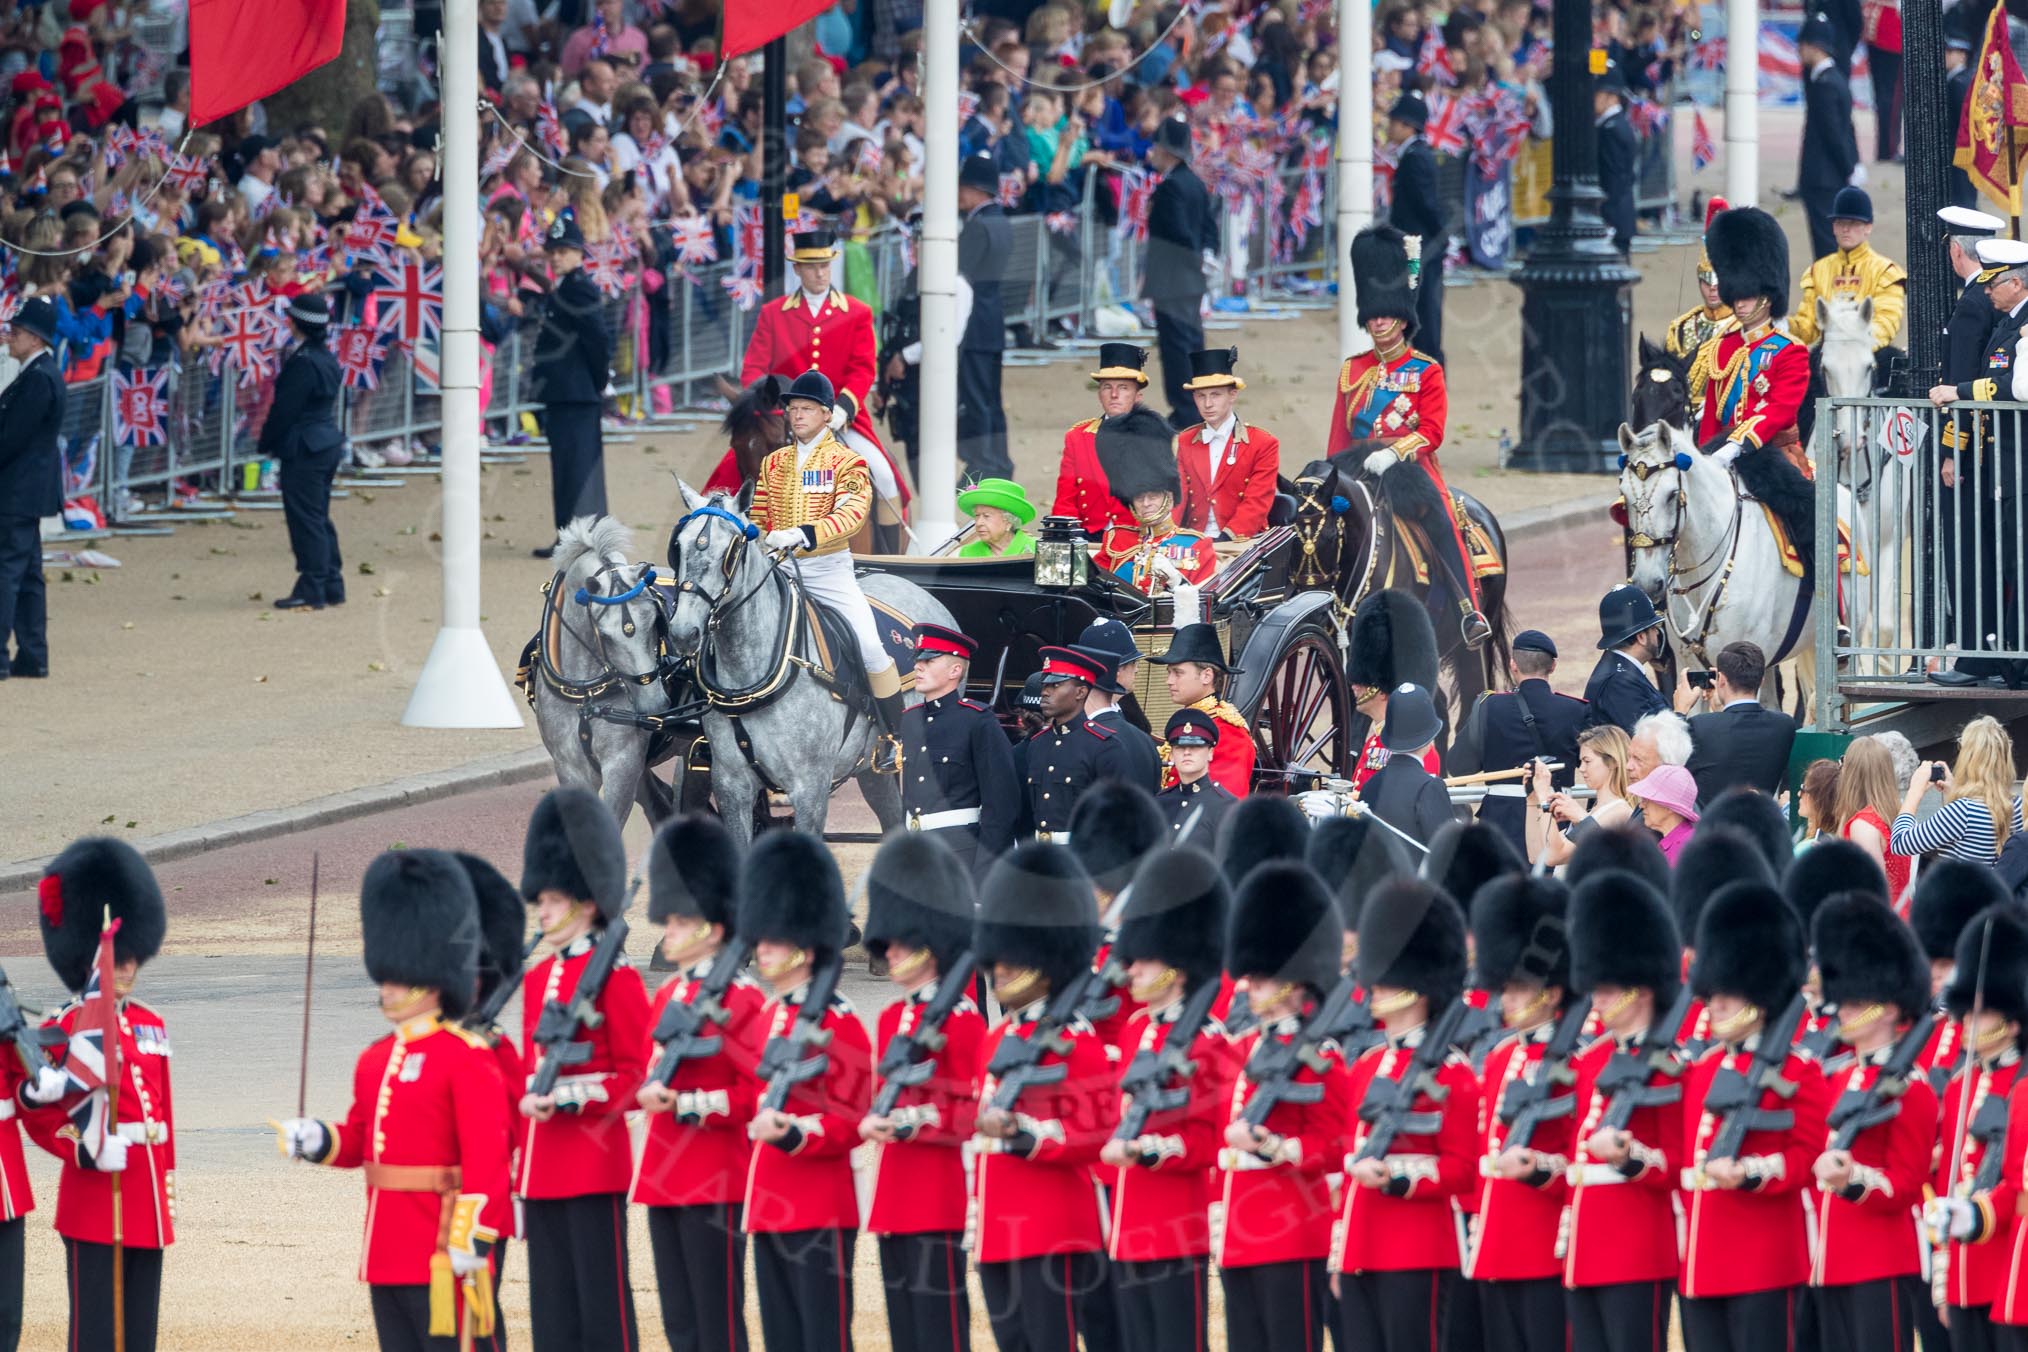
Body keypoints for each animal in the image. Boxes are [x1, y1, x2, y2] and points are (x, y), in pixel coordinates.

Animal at [665, 484, 949, 847]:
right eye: (678, 547)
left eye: (731, 551)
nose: (683, 632)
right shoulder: (731, 786)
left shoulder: (809, 789)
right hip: (869, 769)